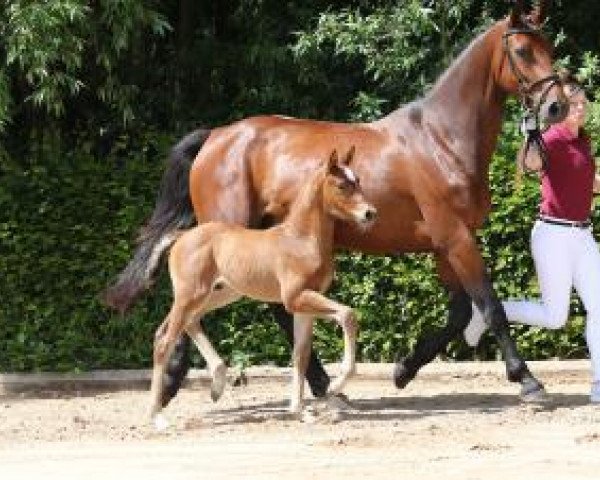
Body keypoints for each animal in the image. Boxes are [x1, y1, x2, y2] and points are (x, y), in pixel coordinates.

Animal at [149, 149, 376, 428]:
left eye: (359, 181)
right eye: (342, 185)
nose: (370, 213)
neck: (301, 239)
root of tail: (181, 236)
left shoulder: (303, 305)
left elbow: (301, 354)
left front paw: (299, 411)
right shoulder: (295, 298)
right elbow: (348, 314)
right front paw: (335, 386)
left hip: (220, 293)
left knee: (183, 325)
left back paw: (217, 385)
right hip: (190, 294)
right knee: (165, 341)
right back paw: (157, 416)